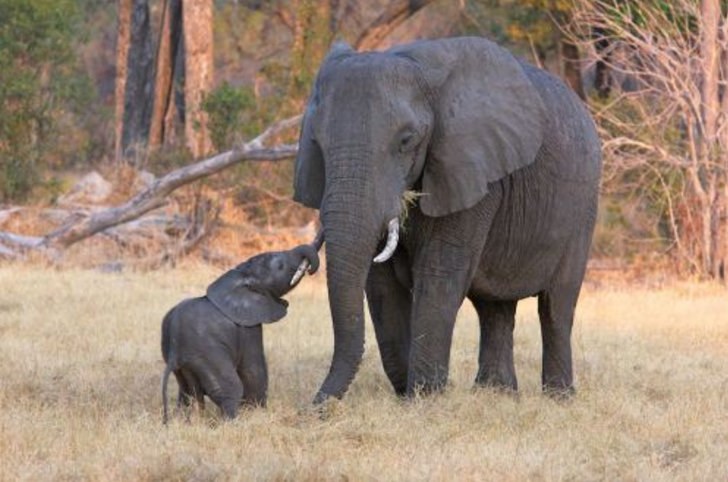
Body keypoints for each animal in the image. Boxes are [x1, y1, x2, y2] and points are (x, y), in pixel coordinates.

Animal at [161, 243, 320, 420]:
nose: (310, 270)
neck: (240, 274)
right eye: (281, 266)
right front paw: (257, 414)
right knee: (230, 388)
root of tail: (175, 349)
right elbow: (253, 370)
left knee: (188, 392)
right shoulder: (248, 328)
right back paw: (233, 422)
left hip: (183, 363)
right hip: (206, 354)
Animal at [292, 37, 600, 402]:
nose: (311, 408)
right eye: (317, 142)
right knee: (494, 307)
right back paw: (496, 395)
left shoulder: (471, 167)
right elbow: (380, 284)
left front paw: (424, 398)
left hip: (582, 209)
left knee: (556, 306)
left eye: (407, 140)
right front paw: (413, 393)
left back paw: (558, 398)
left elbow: (439, 273)